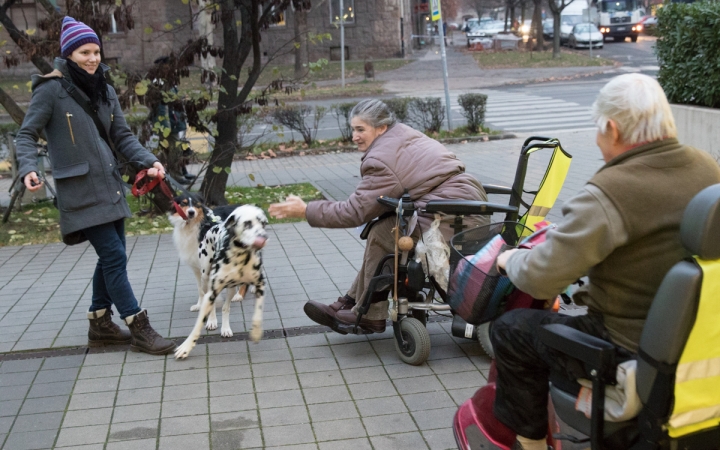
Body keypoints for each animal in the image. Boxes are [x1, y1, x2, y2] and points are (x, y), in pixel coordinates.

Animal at [176, 206, 268, 360]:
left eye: (264, 223)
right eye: (247, 223)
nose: (263, 237)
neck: (241, 256)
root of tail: (215, 225)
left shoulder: (260, 285)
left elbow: (258, 312)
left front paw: (256, 331)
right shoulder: (212, 291)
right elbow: (197, 326)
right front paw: (186, 347)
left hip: (231, 289)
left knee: (226, 308)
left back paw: (225, 328)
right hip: (205, 280)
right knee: (210, 303)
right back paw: (212, 321)